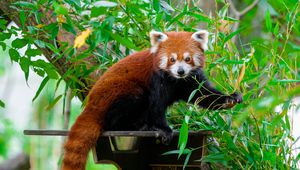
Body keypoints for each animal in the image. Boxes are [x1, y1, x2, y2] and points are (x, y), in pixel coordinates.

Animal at [61, 29, 241, 169]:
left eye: (187, 58)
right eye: (172, 59)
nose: (180, 71)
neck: (176, 80)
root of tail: (91, 104)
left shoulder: (191, 81)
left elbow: (203, 95)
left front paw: (230, 98)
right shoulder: (157, 79)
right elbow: (157, 106)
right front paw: (164, 129)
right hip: (120, 93)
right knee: (122, 111)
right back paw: (139, 126)